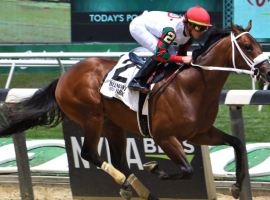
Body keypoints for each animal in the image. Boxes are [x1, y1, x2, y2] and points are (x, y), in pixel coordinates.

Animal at [0, 21, 270, 200]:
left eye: (258, 44)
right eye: (248, 46)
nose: (267, 72)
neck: (194, 85)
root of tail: (64, 76)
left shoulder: (199, 133)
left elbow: (237, 143)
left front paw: (237, 186)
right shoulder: (164, 136)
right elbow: (188, 170)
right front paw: (155, 168)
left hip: (112, 123)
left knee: (119, 159)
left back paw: (137, 189)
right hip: (91, 117)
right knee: (89, 153)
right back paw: (128, 185)